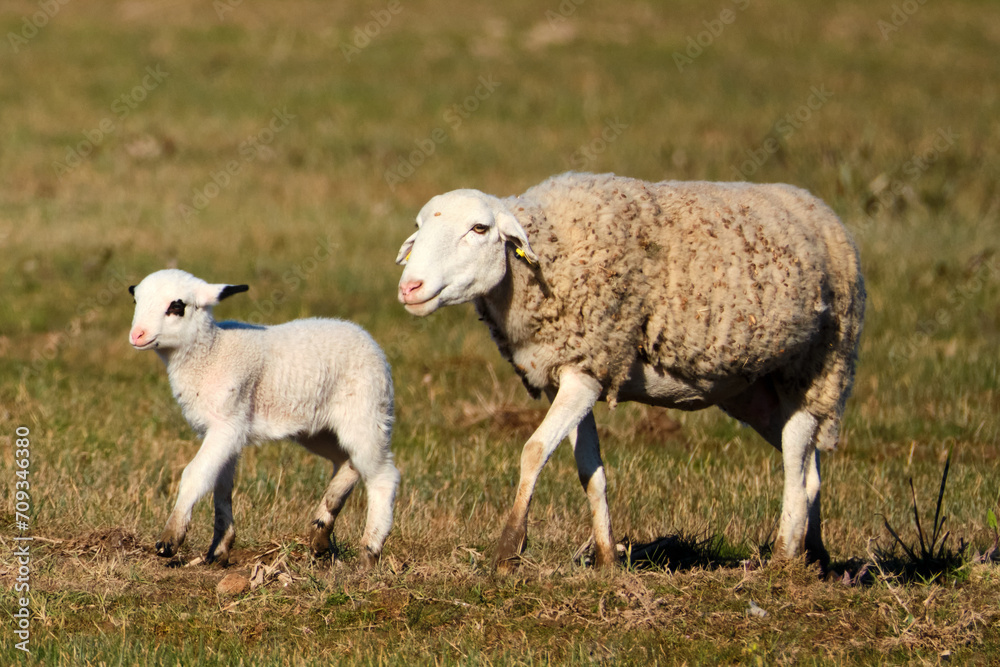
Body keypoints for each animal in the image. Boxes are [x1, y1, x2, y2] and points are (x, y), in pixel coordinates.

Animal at [128, 269, 399, 568]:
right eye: (136, 301)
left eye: (177, 307)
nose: (137, 335)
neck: (211, 353)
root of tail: (370, 341)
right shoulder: (227, 430)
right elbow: (221, 487)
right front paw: (218, 551)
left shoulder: (227, 424)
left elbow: (195, 474)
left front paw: (170, 539)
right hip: (319, 429)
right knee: (348, 462)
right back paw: (320, 534)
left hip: (366, 411)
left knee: (383, 475)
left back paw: (369, 552)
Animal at [396, 171, 865, 572]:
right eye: (418, 227)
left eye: (479, 229)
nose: (409, 288)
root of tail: (817, 207)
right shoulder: (574, 372)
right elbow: (590, 471)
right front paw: (607, 560)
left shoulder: (587, 368)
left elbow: (533, 450)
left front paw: (509, 551)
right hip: (754, 391)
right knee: (808, 465)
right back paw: (815, 555)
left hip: (814, 366)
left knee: (796, 456)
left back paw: (785, 557)